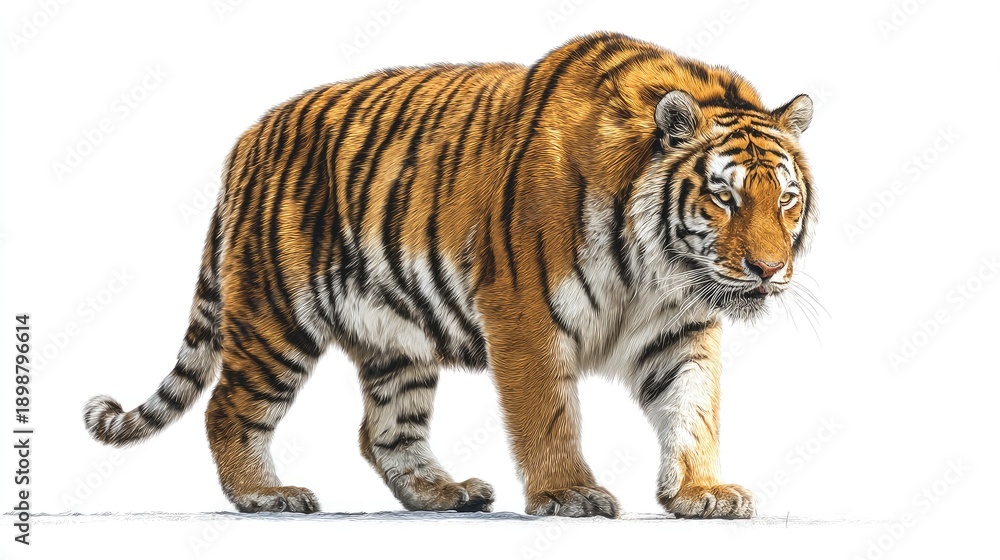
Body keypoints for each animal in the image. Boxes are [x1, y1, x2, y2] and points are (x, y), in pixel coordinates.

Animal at [83, 31, 815, 519]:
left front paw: (700, 493)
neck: (656, 269)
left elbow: (694, 409)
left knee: (385, 431)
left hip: (394, 336)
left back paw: (444, 492)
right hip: (275, 318)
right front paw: (569, 493)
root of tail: (246, 141)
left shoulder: (680, 328)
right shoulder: (525, 313)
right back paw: (266, 495)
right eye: (724, 198)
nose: (768, 269)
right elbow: (549, 414)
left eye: (785, 199)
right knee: (229, 407)